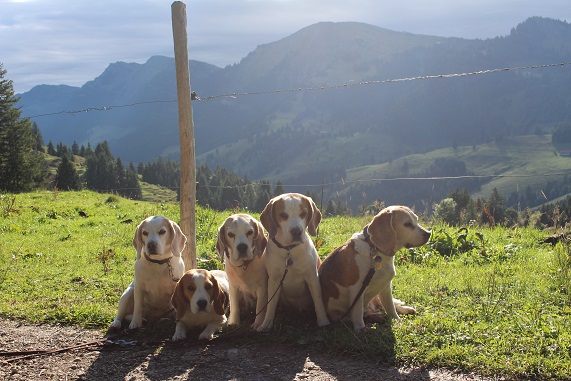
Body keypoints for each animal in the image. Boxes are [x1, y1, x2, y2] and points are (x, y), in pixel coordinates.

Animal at [258, 193, 332, 330]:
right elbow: (270, 304)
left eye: (303, 213)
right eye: (283, 215)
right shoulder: (274, 280)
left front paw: (323, 321)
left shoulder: (312, 277)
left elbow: (318, 301)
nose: (296, 231)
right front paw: (266, 324)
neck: (289, 250)